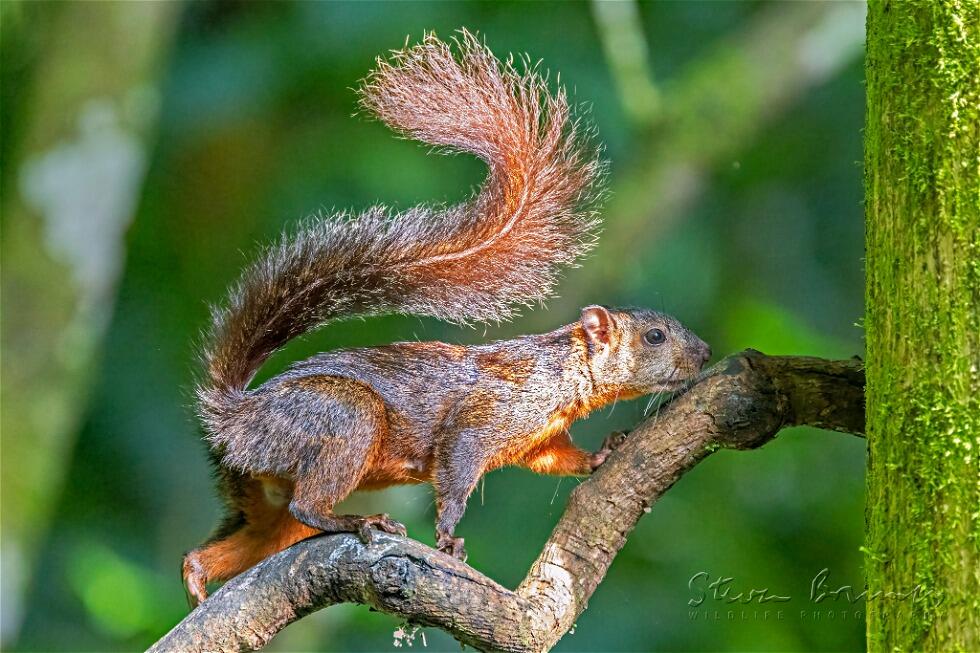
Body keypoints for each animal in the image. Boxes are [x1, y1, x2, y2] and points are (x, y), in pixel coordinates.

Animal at [182, 31, 711, 607]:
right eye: (654, 336)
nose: (706, 354)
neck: (560, 377)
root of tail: (234, 418)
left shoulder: (539, 440)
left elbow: (556, 460)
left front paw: (600, 455)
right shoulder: (482, 420)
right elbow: (456, 474)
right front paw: (448, 537)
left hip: (263, 496)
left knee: (236, 543)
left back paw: (197, 583)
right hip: (342, 420)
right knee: (309, 506)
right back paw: (360, 521)